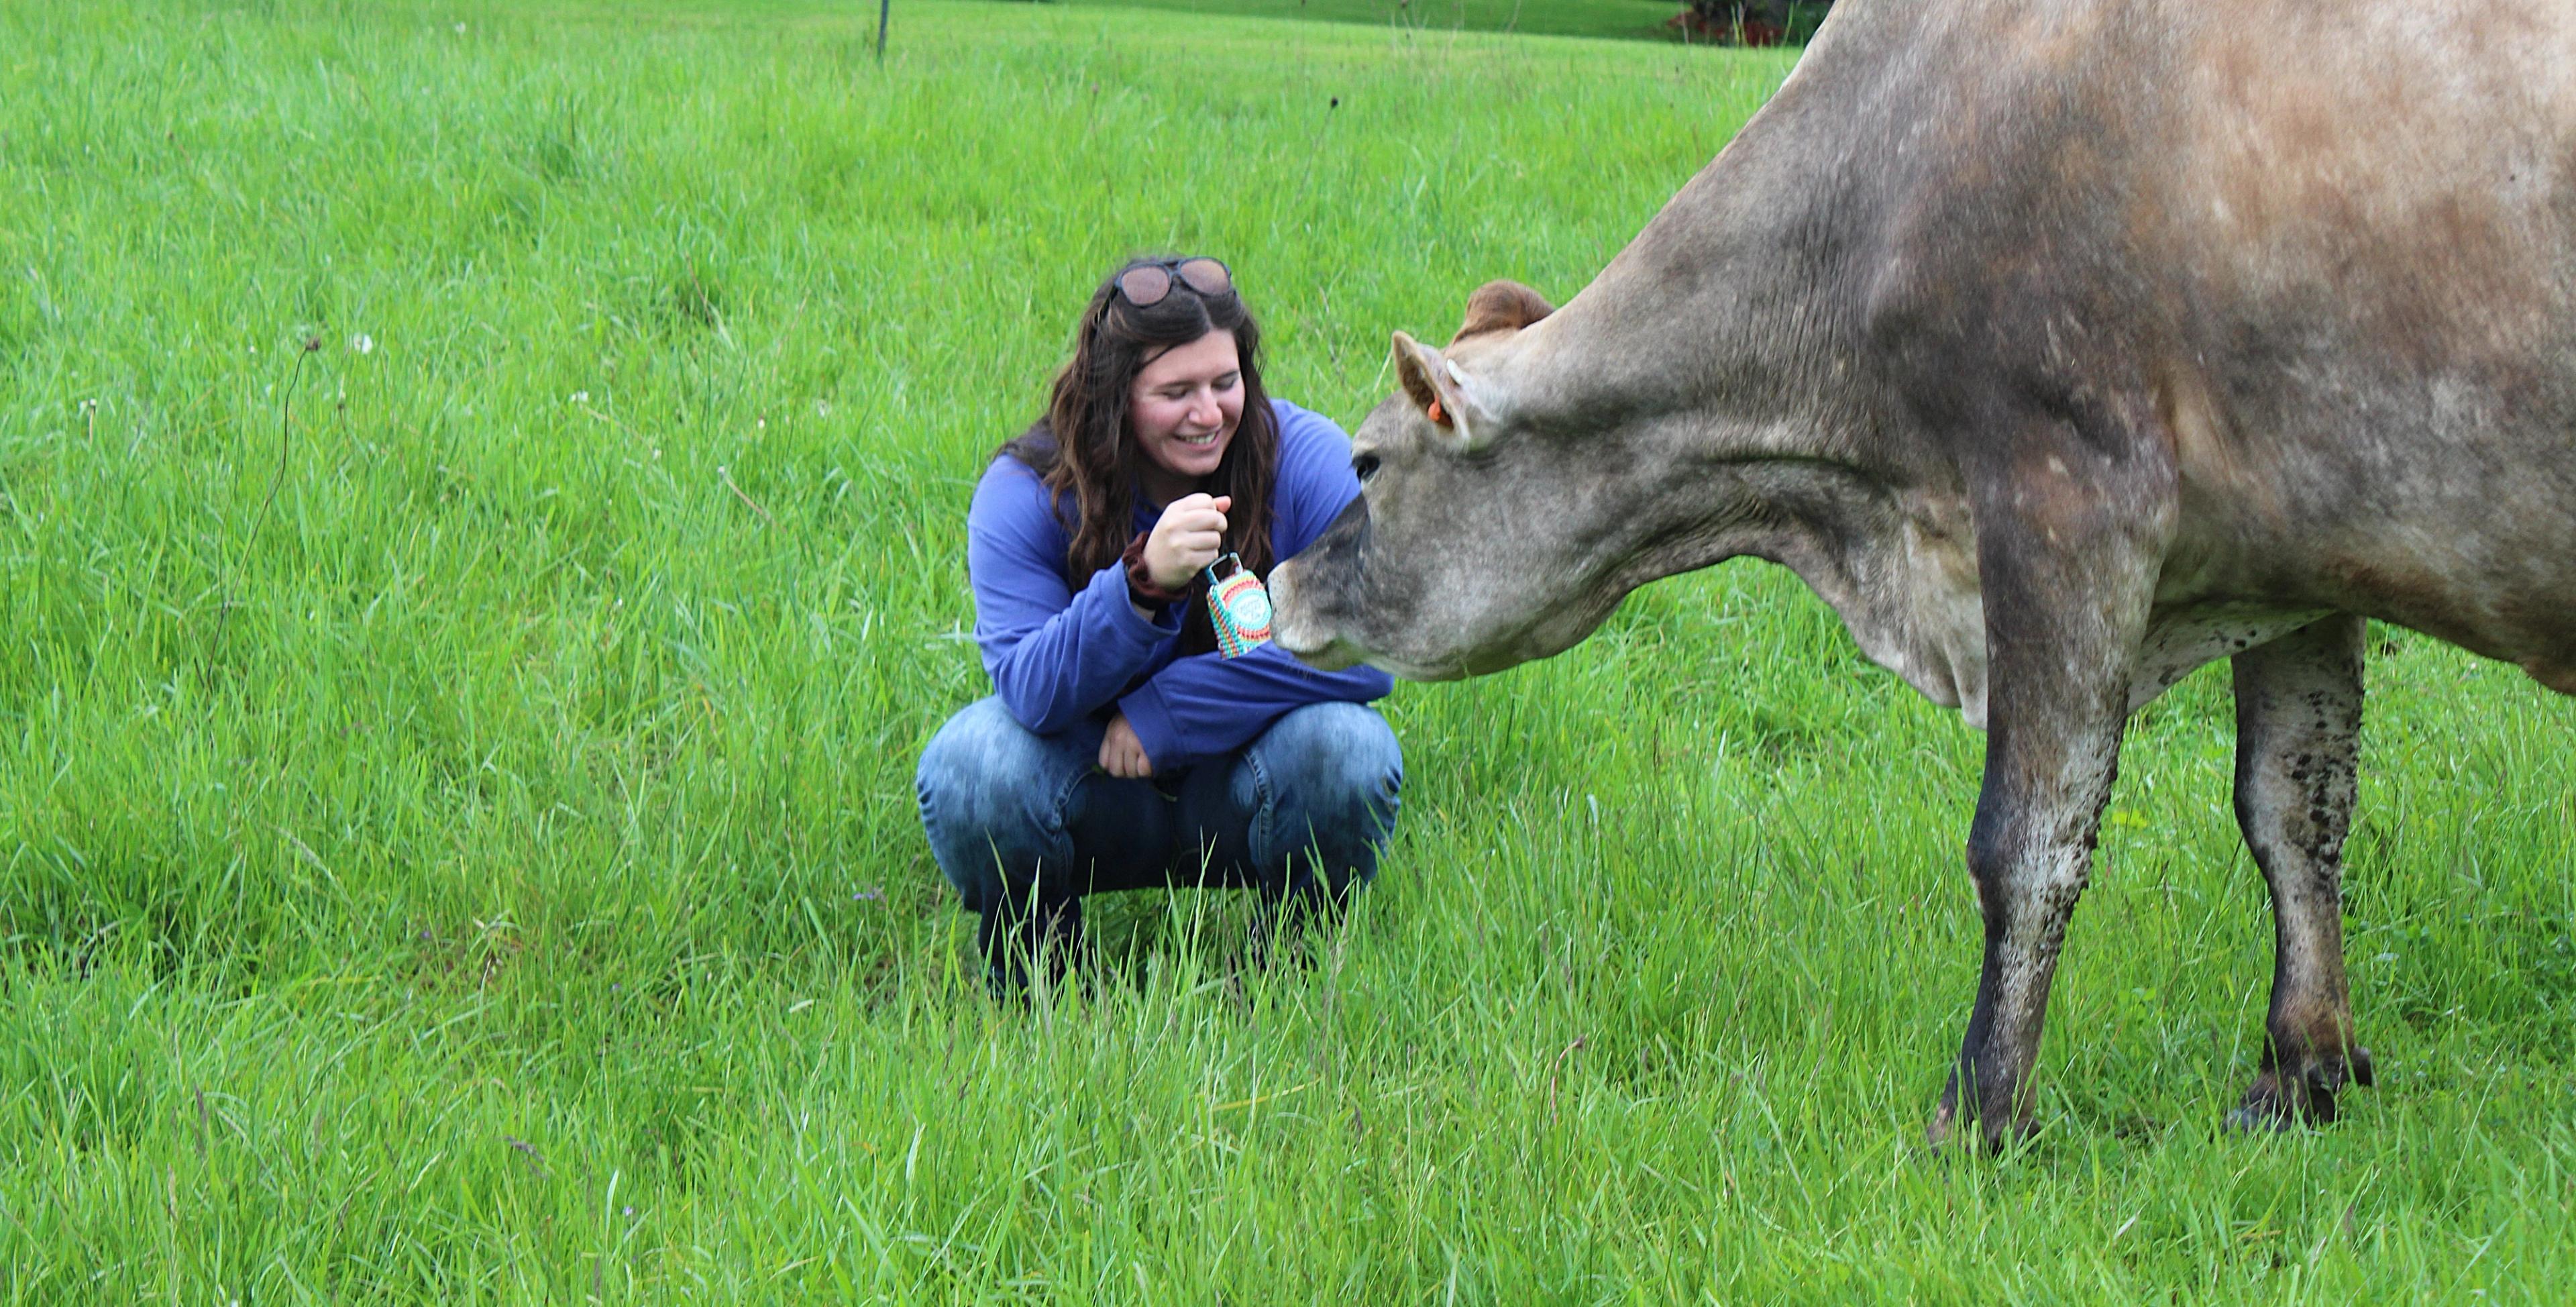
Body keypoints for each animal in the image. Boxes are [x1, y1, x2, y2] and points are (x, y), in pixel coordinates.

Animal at [1268, 0, 2576, 1150]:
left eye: (1368, 459)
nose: (1277, 583)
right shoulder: (2295, 559)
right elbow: (2293, 810)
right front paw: (2303, 1072)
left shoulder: (2066, 495)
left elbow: (2029, 842)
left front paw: (1981, 1115)